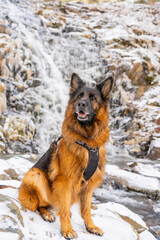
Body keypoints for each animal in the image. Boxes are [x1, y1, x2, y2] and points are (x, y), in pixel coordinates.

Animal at [18, 73, 114, 238]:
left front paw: (91, 226)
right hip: (35, 174)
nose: (81, 104)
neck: (87, 141)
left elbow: (86, 209)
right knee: (40, 205)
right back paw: (47, 214)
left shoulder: (88, 186)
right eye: (79, 96)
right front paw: (67, 229)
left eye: (93, 98)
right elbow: (63, 209)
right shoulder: (65, 181)